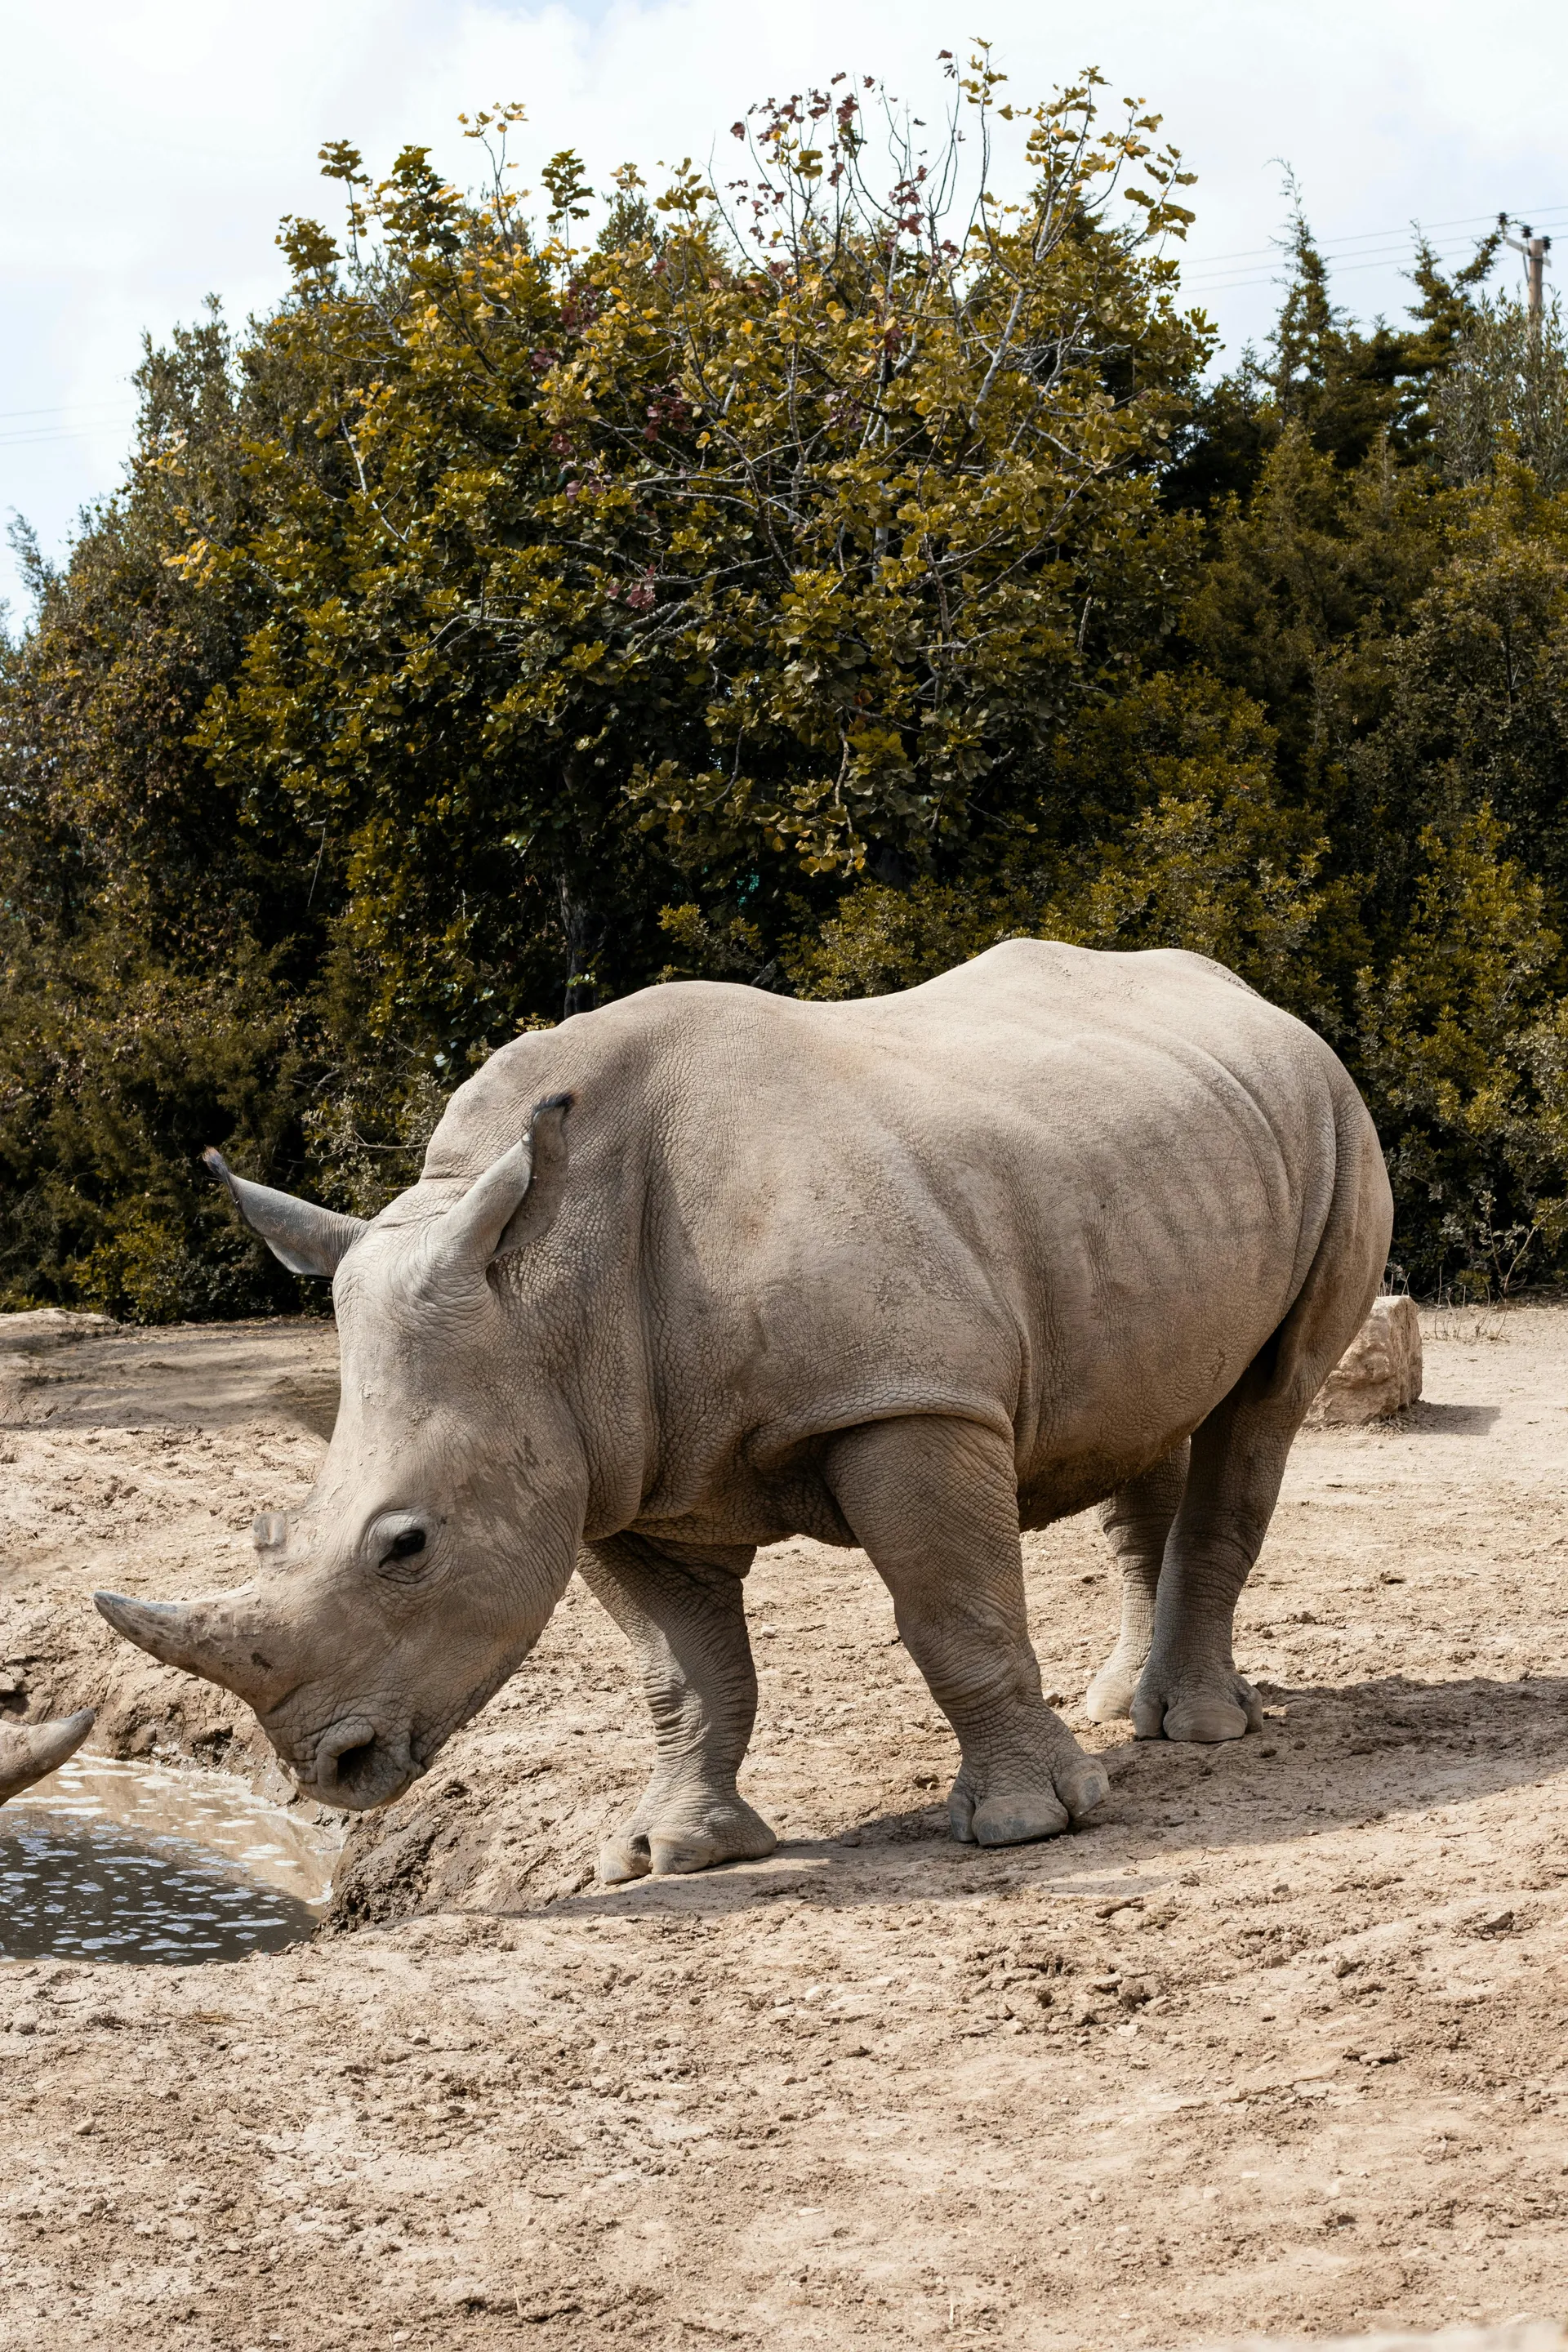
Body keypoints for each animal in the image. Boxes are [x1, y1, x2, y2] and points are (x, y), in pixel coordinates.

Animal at [95, 941, 1391, 1876]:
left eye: (406, 1547)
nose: (329, 1767)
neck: (545, 1288)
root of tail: (1257, 1000)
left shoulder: (904, 1402)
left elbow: (955, 1615)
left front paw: (1029, 1827)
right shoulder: (606, 1464)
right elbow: (684, 1672)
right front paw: (670, 1854)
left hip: (1333, 1116)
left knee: (1264, 1405)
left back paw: (1196, 1731)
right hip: (1146, 1162)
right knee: (1147, 1413)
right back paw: (1124, 1708)